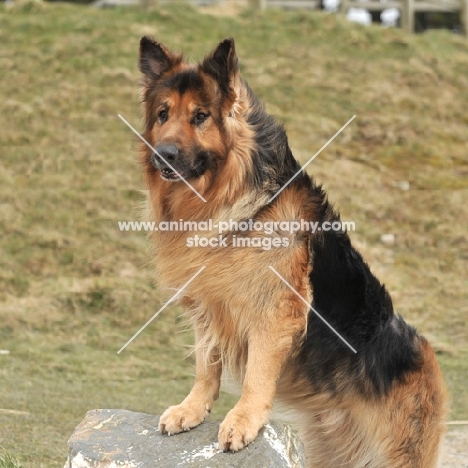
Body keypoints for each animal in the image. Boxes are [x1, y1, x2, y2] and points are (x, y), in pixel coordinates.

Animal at [138, 37, 446, 468]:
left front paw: (243, 420)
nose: (162, 154)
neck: (227, 195)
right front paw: (192, 409)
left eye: (200, 116)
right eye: (163, 114)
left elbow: (256, 373)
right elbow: (206, 364)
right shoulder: (208, 304)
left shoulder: (276, 311)